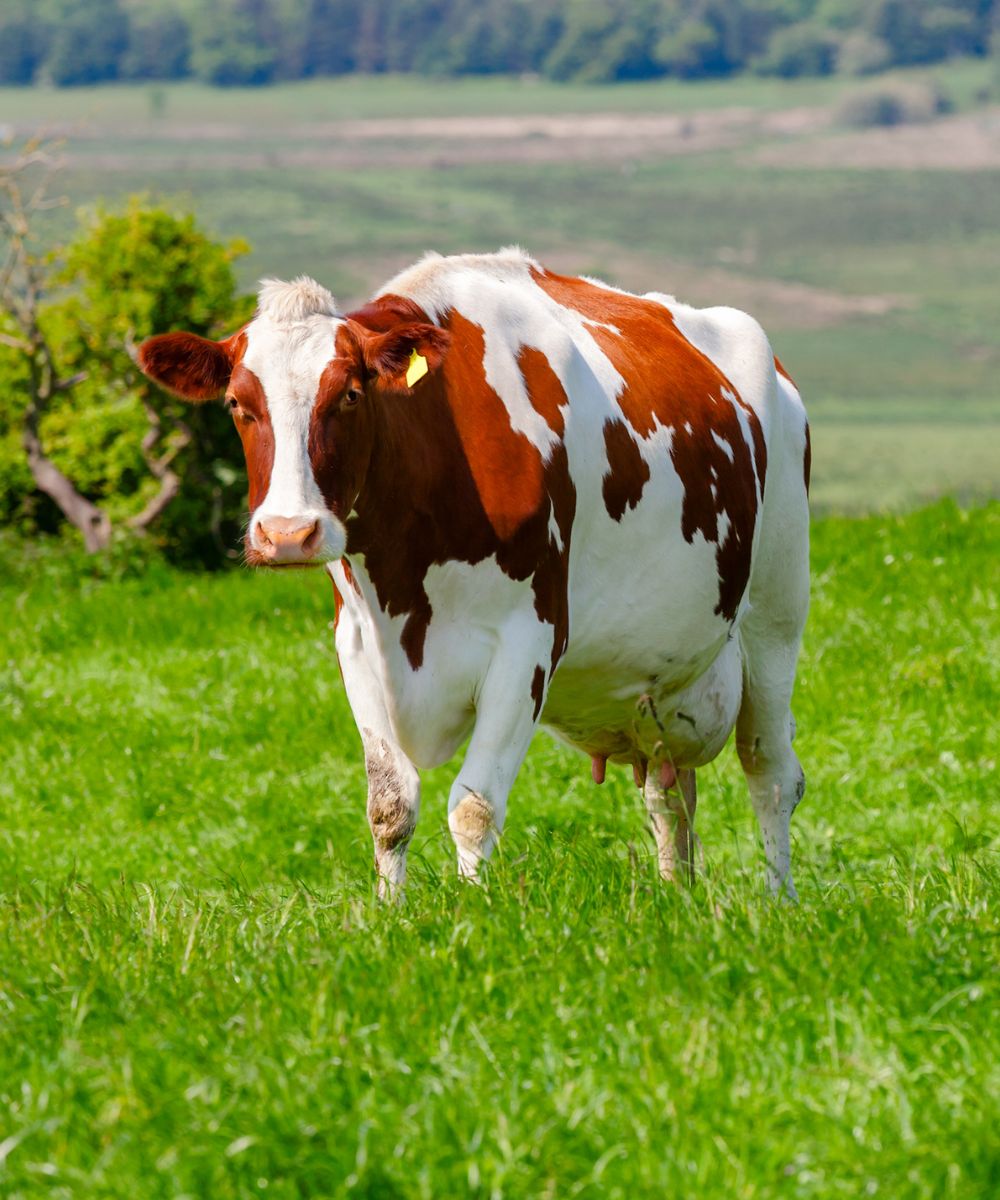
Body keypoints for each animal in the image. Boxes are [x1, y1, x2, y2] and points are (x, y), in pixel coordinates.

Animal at [138, 248, 811, 897]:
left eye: (349, 394)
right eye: (236, 404)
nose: (286, 534)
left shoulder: (528, 640)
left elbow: (474, 807)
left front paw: (473, 913)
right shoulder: (355, 642)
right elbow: (389, 806)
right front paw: (391, 916)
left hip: (776, 618)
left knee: (771, 773)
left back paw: (779, 901)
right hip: (662, 689)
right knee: (669, 795)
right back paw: (677, 899)